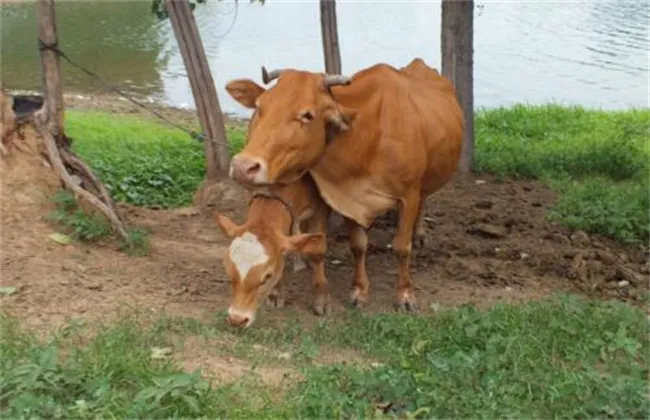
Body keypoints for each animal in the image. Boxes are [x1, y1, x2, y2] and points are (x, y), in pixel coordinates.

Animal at [214, 174, 330, 328]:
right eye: (228, 271)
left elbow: (317, 251)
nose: (237, 319)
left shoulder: (322, 207)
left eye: (267, 276)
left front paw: (321, 298)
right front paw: (276, 293)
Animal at [223, 60, 460, 312]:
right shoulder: (346, 197)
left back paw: (419, 234)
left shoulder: (408, 194)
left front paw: (405, 295)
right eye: (259, 107)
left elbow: (402, 247)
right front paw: (359, 290)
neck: (367, 139)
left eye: (308, 115)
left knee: (424, 201)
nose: (243, 166)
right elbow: (358, 245)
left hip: (426, 183)